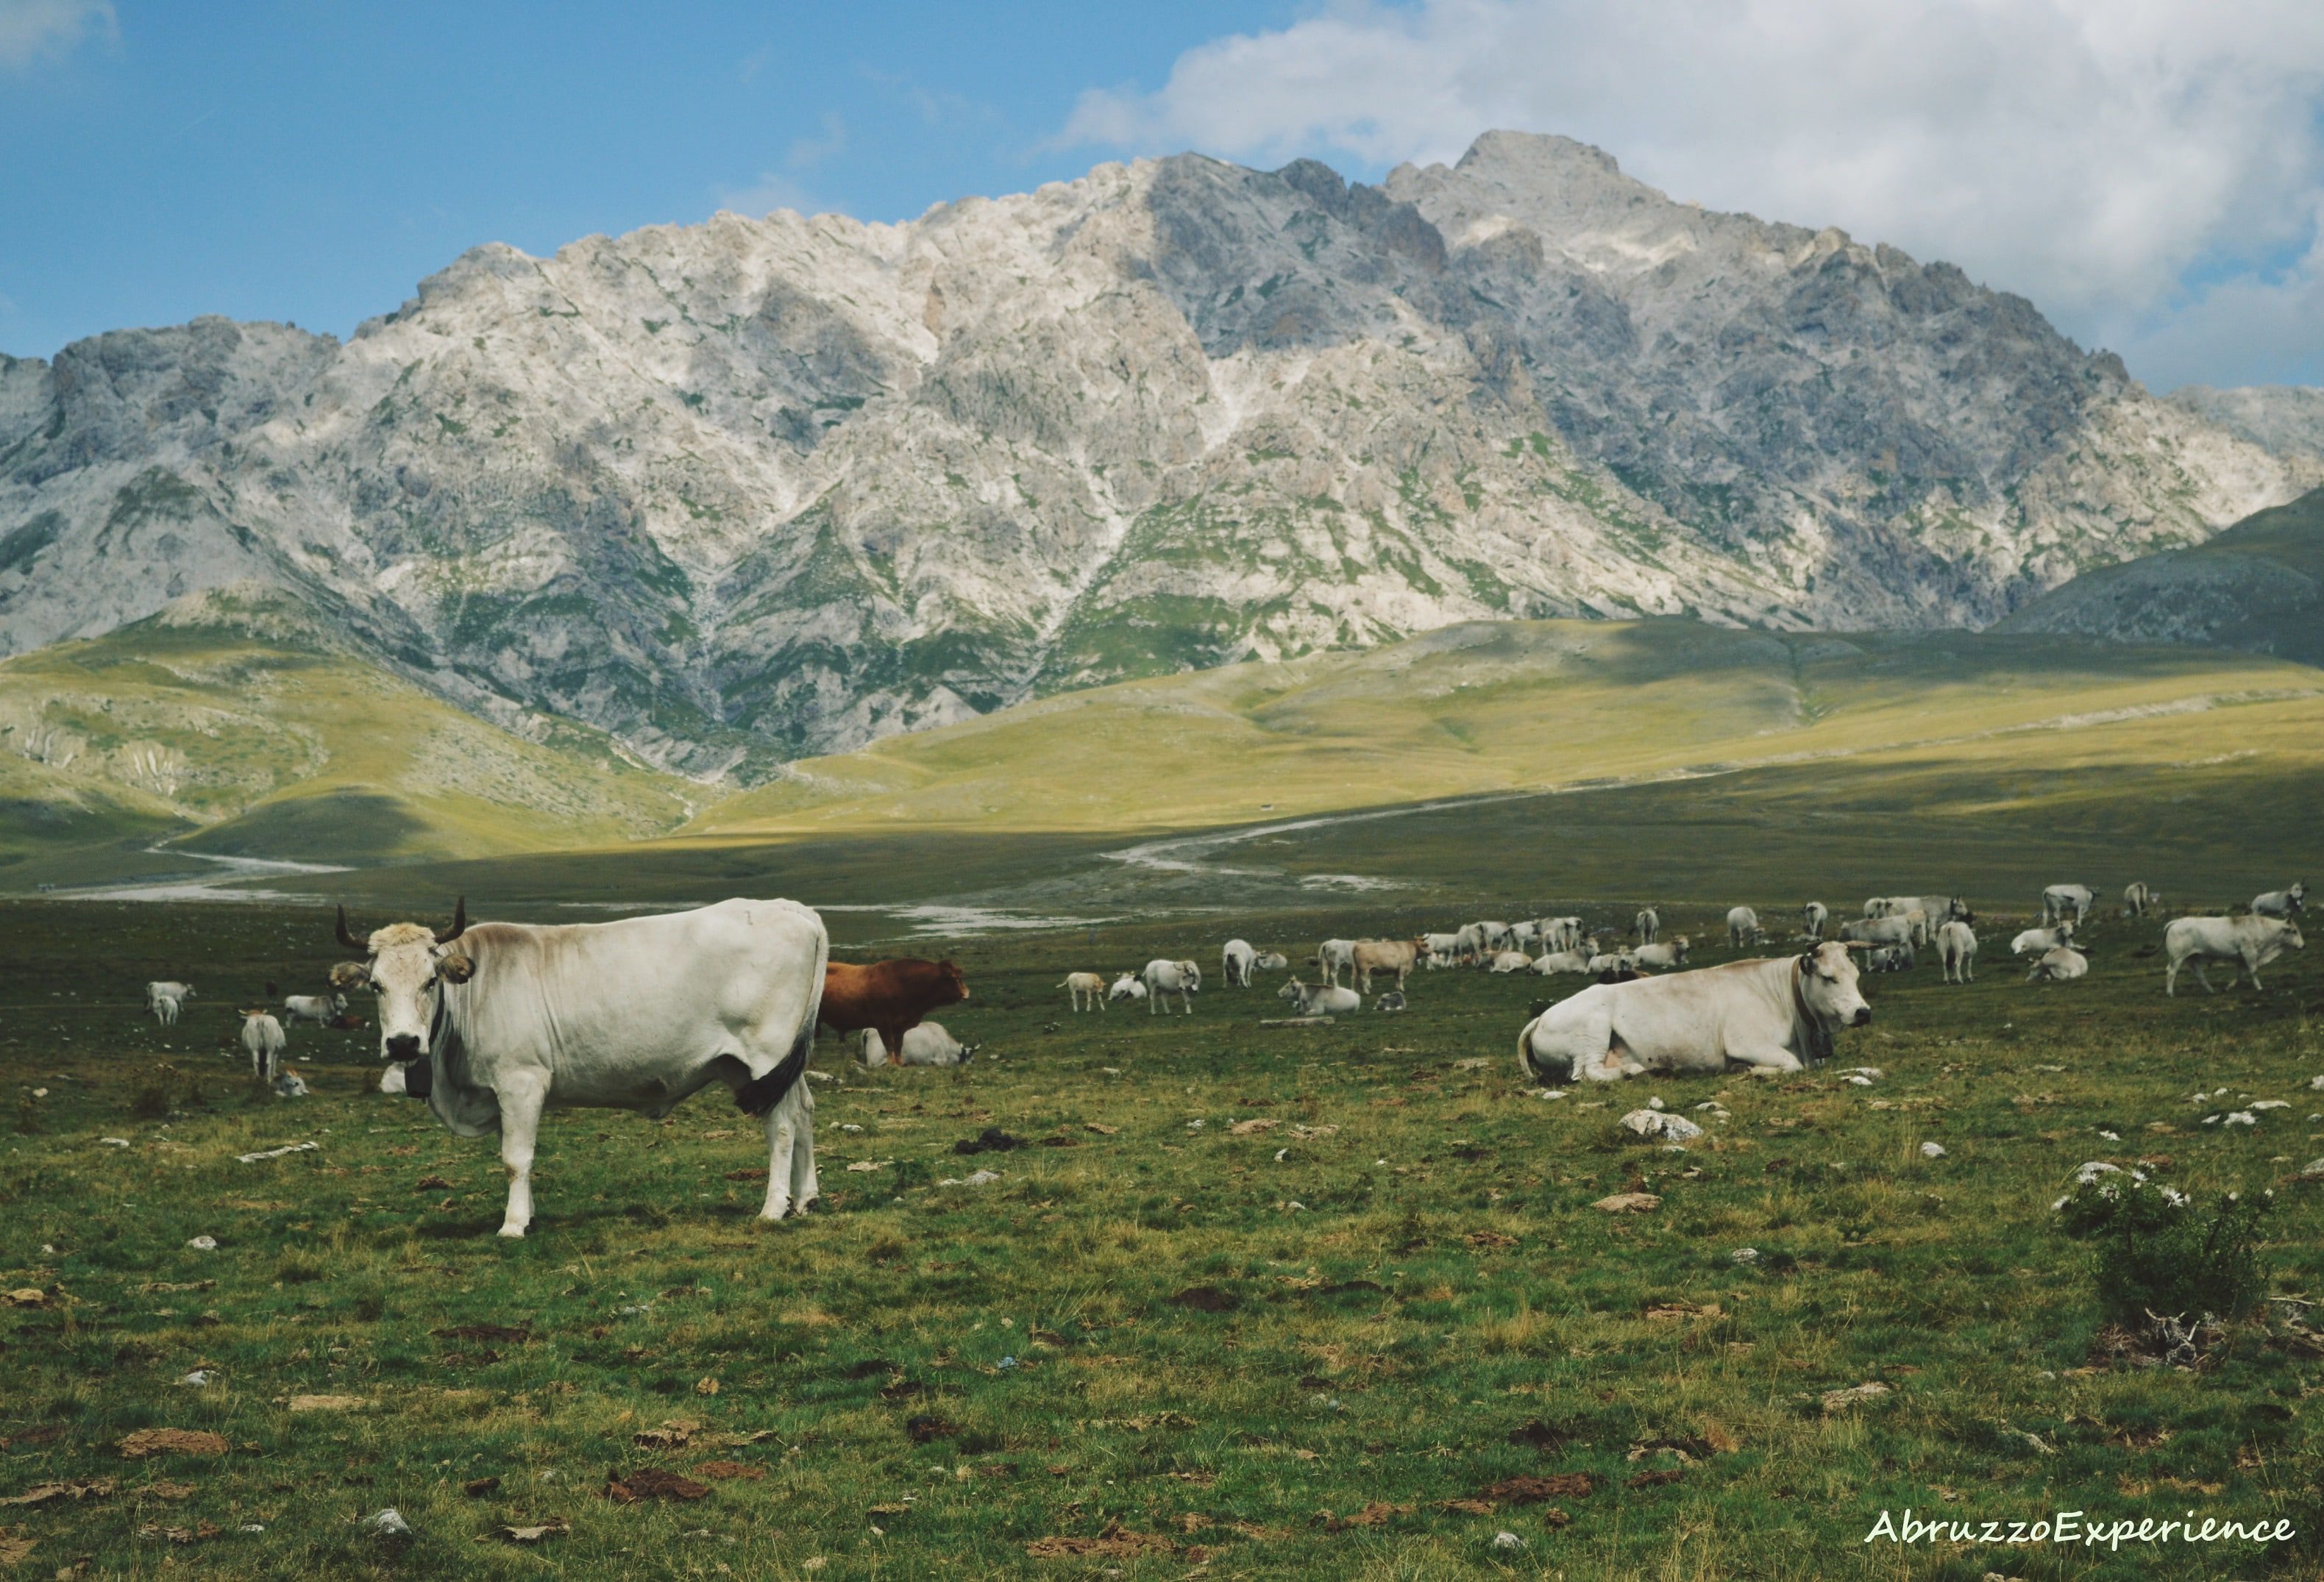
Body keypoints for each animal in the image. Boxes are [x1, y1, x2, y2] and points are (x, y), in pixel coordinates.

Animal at [337, 897, 827, 1236]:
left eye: (430, 981)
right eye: (376, 985)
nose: (403, 1043)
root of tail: (790, 909)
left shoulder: (521, 1080)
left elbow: (515, 1158)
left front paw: (513, 1225)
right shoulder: (499, 1093)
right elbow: (514, 1153)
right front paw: (529, 1214)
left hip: (766, 1057)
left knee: (782, 1126)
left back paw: (773, 1208)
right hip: (767, 1066)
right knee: (804, 1112)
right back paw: (806, 1200)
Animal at [822, 957, 967, 1068]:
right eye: (955, 979)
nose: (966, 994)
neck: (901, 982)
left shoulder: (900, 1026)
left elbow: (898, 1045)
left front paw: (899, 1063)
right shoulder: (883, 1022)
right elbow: (889, 1044)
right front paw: (892, 1064)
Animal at [1515, 938, 1877, 1087]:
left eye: (1856, 974)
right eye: (1829, 977)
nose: (1863, 1012)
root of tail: (1542, 1017)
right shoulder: (1746, 1041)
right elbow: (1791, 1065)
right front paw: (1750, 1070)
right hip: (1593, 1031)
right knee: (1587, 1073)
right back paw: (1635, 1072)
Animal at [2156, 905, 2305, 994]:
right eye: (2294, 931)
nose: (2303, 946)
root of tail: (2176, 922)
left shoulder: (2242, 959)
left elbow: (2240, 975)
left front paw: (2228, 987)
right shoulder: (2249, 953)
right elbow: (2253, 971)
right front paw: (2259, 988)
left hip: (2192, 958)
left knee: (2199, 975)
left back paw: (2211, 990)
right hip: (2177, 958)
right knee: (2171, 973)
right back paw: (2170, 993)